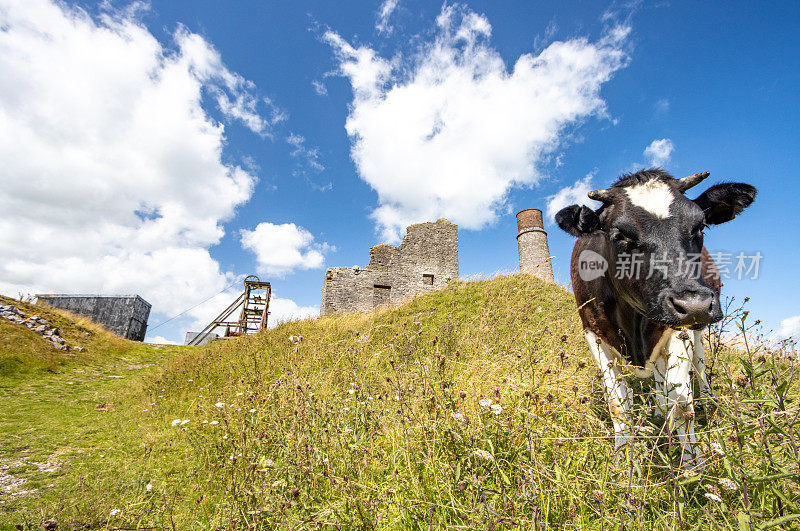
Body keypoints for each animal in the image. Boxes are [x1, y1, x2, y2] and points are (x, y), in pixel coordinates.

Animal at [556, 169, 756, 466]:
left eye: (700, 227)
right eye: (619, 235)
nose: (694, 304)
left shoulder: (677, 330)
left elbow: (681, 403)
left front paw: (691, 466)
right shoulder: (592, 330)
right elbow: (618, 404)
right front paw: (623, 461)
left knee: (697, 364)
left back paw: (706, 400)